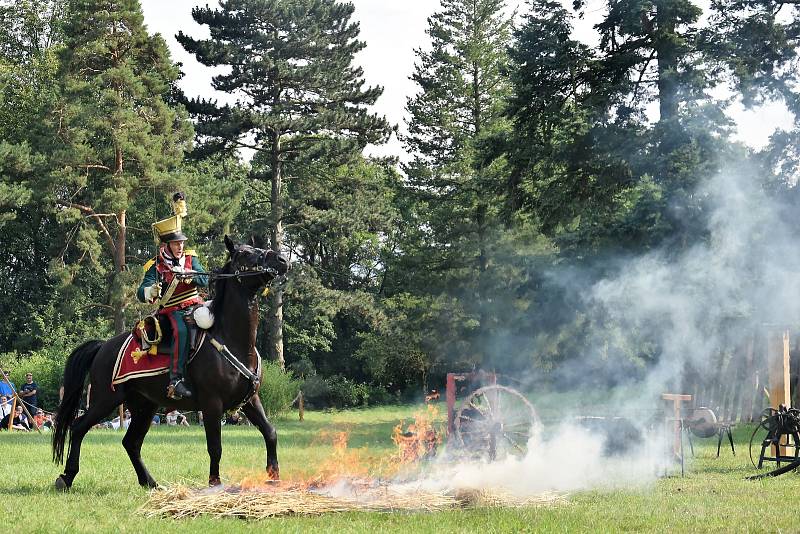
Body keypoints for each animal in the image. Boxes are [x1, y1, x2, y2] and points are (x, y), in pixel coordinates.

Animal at [50, 237, 288, 492]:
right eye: (244, 253)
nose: (282, 260)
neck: (231, 338)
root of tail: (103, 347)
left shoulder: (250, 400)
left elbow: (270, 432)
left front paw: (274, 476)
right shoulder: (212, 404)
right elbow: (215, 446)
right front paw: (215, 483)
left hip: (144, 406)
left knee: (131, 442)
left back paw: (150, 483)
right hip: (105, 400)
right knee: (79, 427)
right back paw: (66, 477)